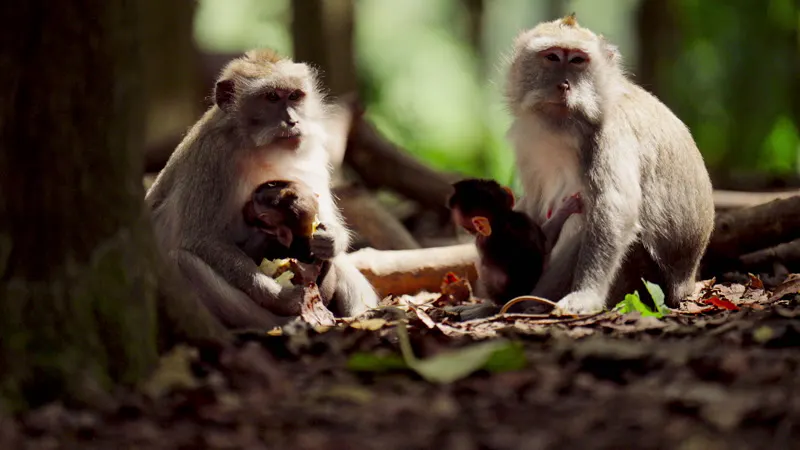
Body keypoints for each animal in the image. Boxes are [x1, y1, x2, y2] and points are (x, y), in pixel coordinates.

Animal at [145, 49, 379, 329]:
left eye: (294, 96)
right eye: (271, 97)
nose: (292, 120)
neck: (260, 147)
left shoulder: (312, 151)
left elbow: (323, 220)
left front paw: (332, 239)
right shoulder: (213, 156)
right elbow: (200, 238)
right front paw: (279, 296)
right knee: (184, 262)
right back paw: (283, 320)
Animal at [446, 178, 583, 319]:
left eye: (466, 227)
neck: (503, 220)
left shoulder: (481, 240)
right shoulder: (525, 219)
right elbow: (546, 243)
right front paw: (566, 209)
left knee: (480, 265)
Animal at [500, 14, 715, 315]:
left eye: (577, 60)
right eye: (552, 57)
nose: (563, 85)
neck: (566, 129)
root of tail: (686, 285)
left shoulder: (611, 134)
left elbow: (615, 207)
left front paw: (585, 295)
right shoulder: (528, 143)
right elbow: (532, 203)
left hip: (646, 276)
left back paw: (530, 303)